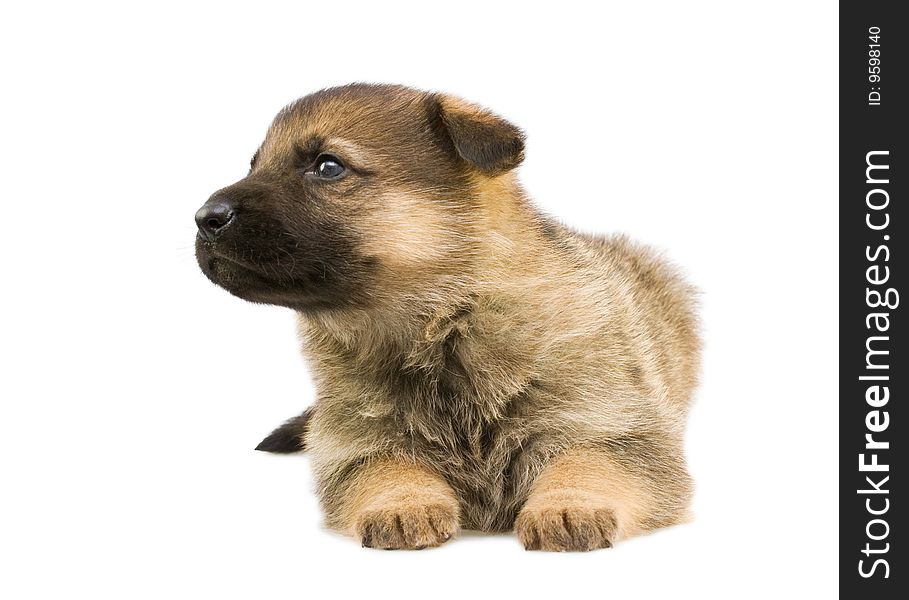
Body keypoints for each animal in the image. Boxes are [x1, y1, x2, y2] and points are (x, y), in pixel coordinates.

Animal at [195, 82, 700, 552]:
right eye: (254, 166)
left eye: (328, 166)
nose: (205, 217)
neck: (448, 322)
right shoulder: (358, 443)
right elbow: (388, 469)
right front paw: (403, 505)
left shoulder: (616, 429)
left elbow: (588, 464)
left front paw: (569, 506)